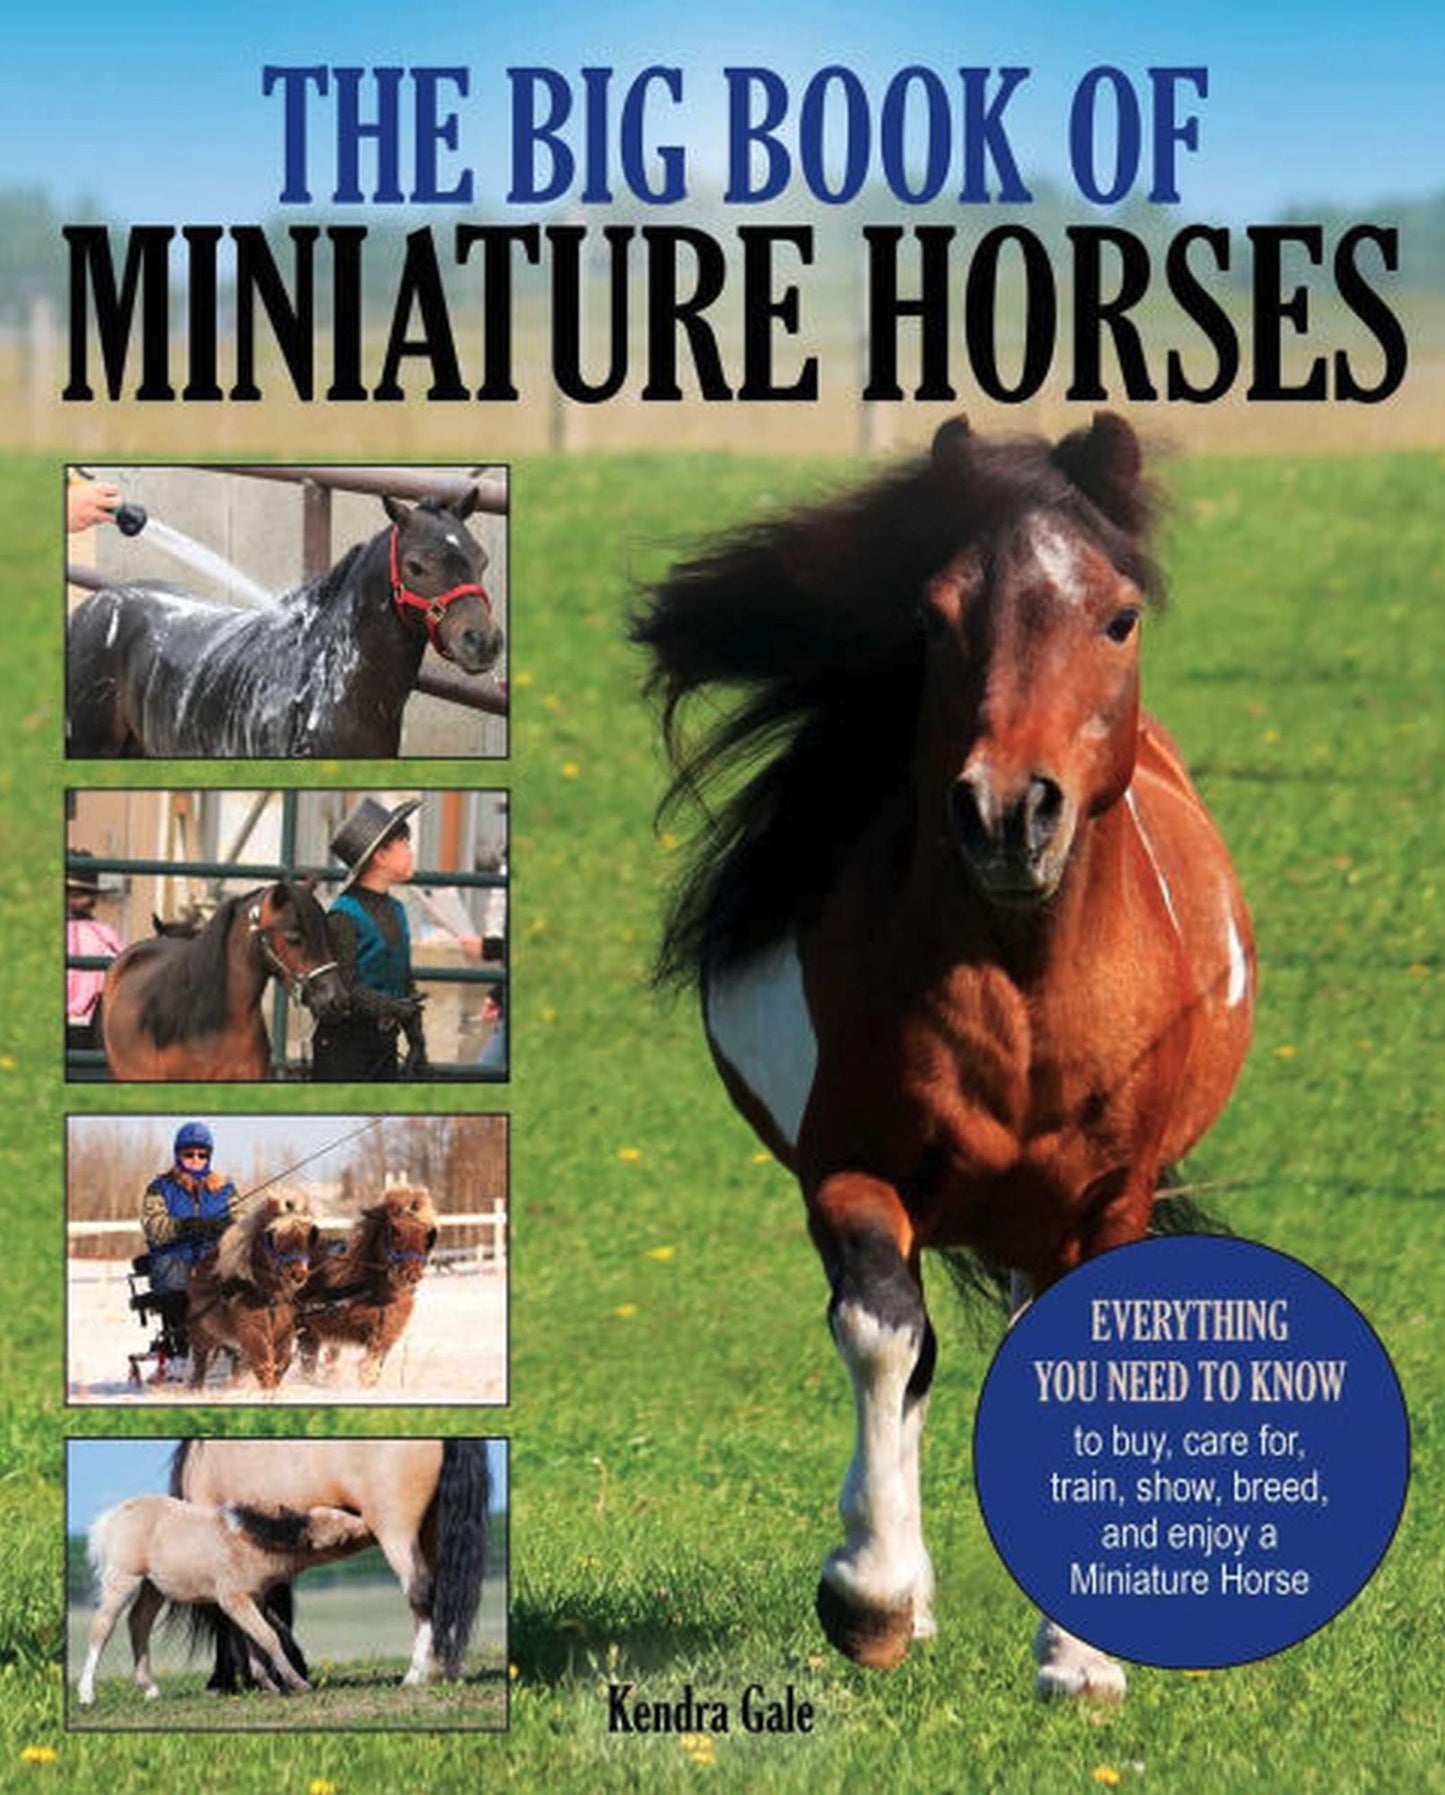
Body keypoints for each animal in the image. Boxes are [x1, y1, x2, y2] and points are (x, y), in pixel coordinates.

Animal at [77, 1494, 374, 1704]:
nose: (369, 1525)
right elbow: (269, 1637)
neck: (250, 1542)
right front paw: (297, 1684)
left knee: (138, 1623)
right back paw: (87, 1694)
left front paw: (268, 1686)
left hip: (153, 1588)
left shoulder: (253, 1599)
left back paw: (149, 1689)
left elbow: (256, 1641)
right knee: (102, 1627)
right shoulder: (234, 1600)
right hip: (123, 1580)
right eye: (343, 1537)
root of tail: (109, 1519)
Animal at [171, 1438, 491, 1689]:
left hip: (397, 1533)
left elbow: (235, 1615)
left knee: (420, 1592)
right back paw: (443, 1668)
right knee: (443, 1596)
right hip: (430, 1531)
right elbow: (275, 1612)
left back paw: (416, 1675)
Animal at [186, 1193, 320, 1390]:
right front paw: (267, 1390)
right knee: (200, 1362)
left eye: (307, 1237)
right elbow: (264, 1361)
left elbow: (282, 1360)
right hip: (202, 1333)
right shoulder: (251, 1328)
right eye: (273, 1238)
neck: (270, 1297)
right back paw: (197, 1387)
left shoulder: (284, 1331)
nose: (298, 1275)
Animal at [296, 1184, 438, 1387]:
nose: (409, 1275)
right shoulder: (324, 1323)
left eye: (427, 1234)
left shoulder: (387, 1331)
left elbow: (375, 1357)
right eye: (395, 1231)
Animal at [632, 413, 1254, 1700]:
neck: (1022, 997)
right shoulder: (851, 1176)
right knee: (904, 1351)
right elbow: (881, 1339)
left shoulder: (1104, 1199)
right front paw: (871, 1597)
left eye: (1118, 615)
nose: (1008, 813)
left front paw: (1079, 1662)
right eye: (933, 616)